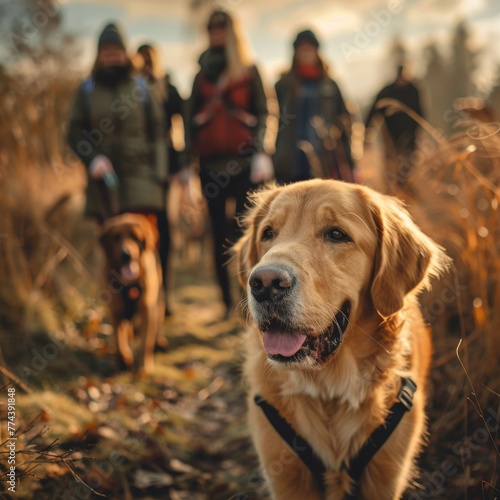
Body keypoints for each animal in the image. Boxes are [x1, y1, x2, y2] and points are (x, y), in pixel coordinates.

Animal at [99, 213, 164, 374]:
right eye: (116, 237)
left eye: (135, 237)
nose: (126, 254)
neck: (129, 284)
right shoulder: (115, 311)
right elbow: (119, 340)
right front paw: (124, 361)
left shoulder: (147, 310)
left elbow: (146, 342)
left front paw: (143, 366)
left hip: (158, 299)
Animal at [233, 181, 450, 500]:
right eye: (268, 233)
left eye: (337, 234)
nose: (265, 283)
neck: (328, 392)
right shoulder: (287, 477)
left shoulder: (385, 477)